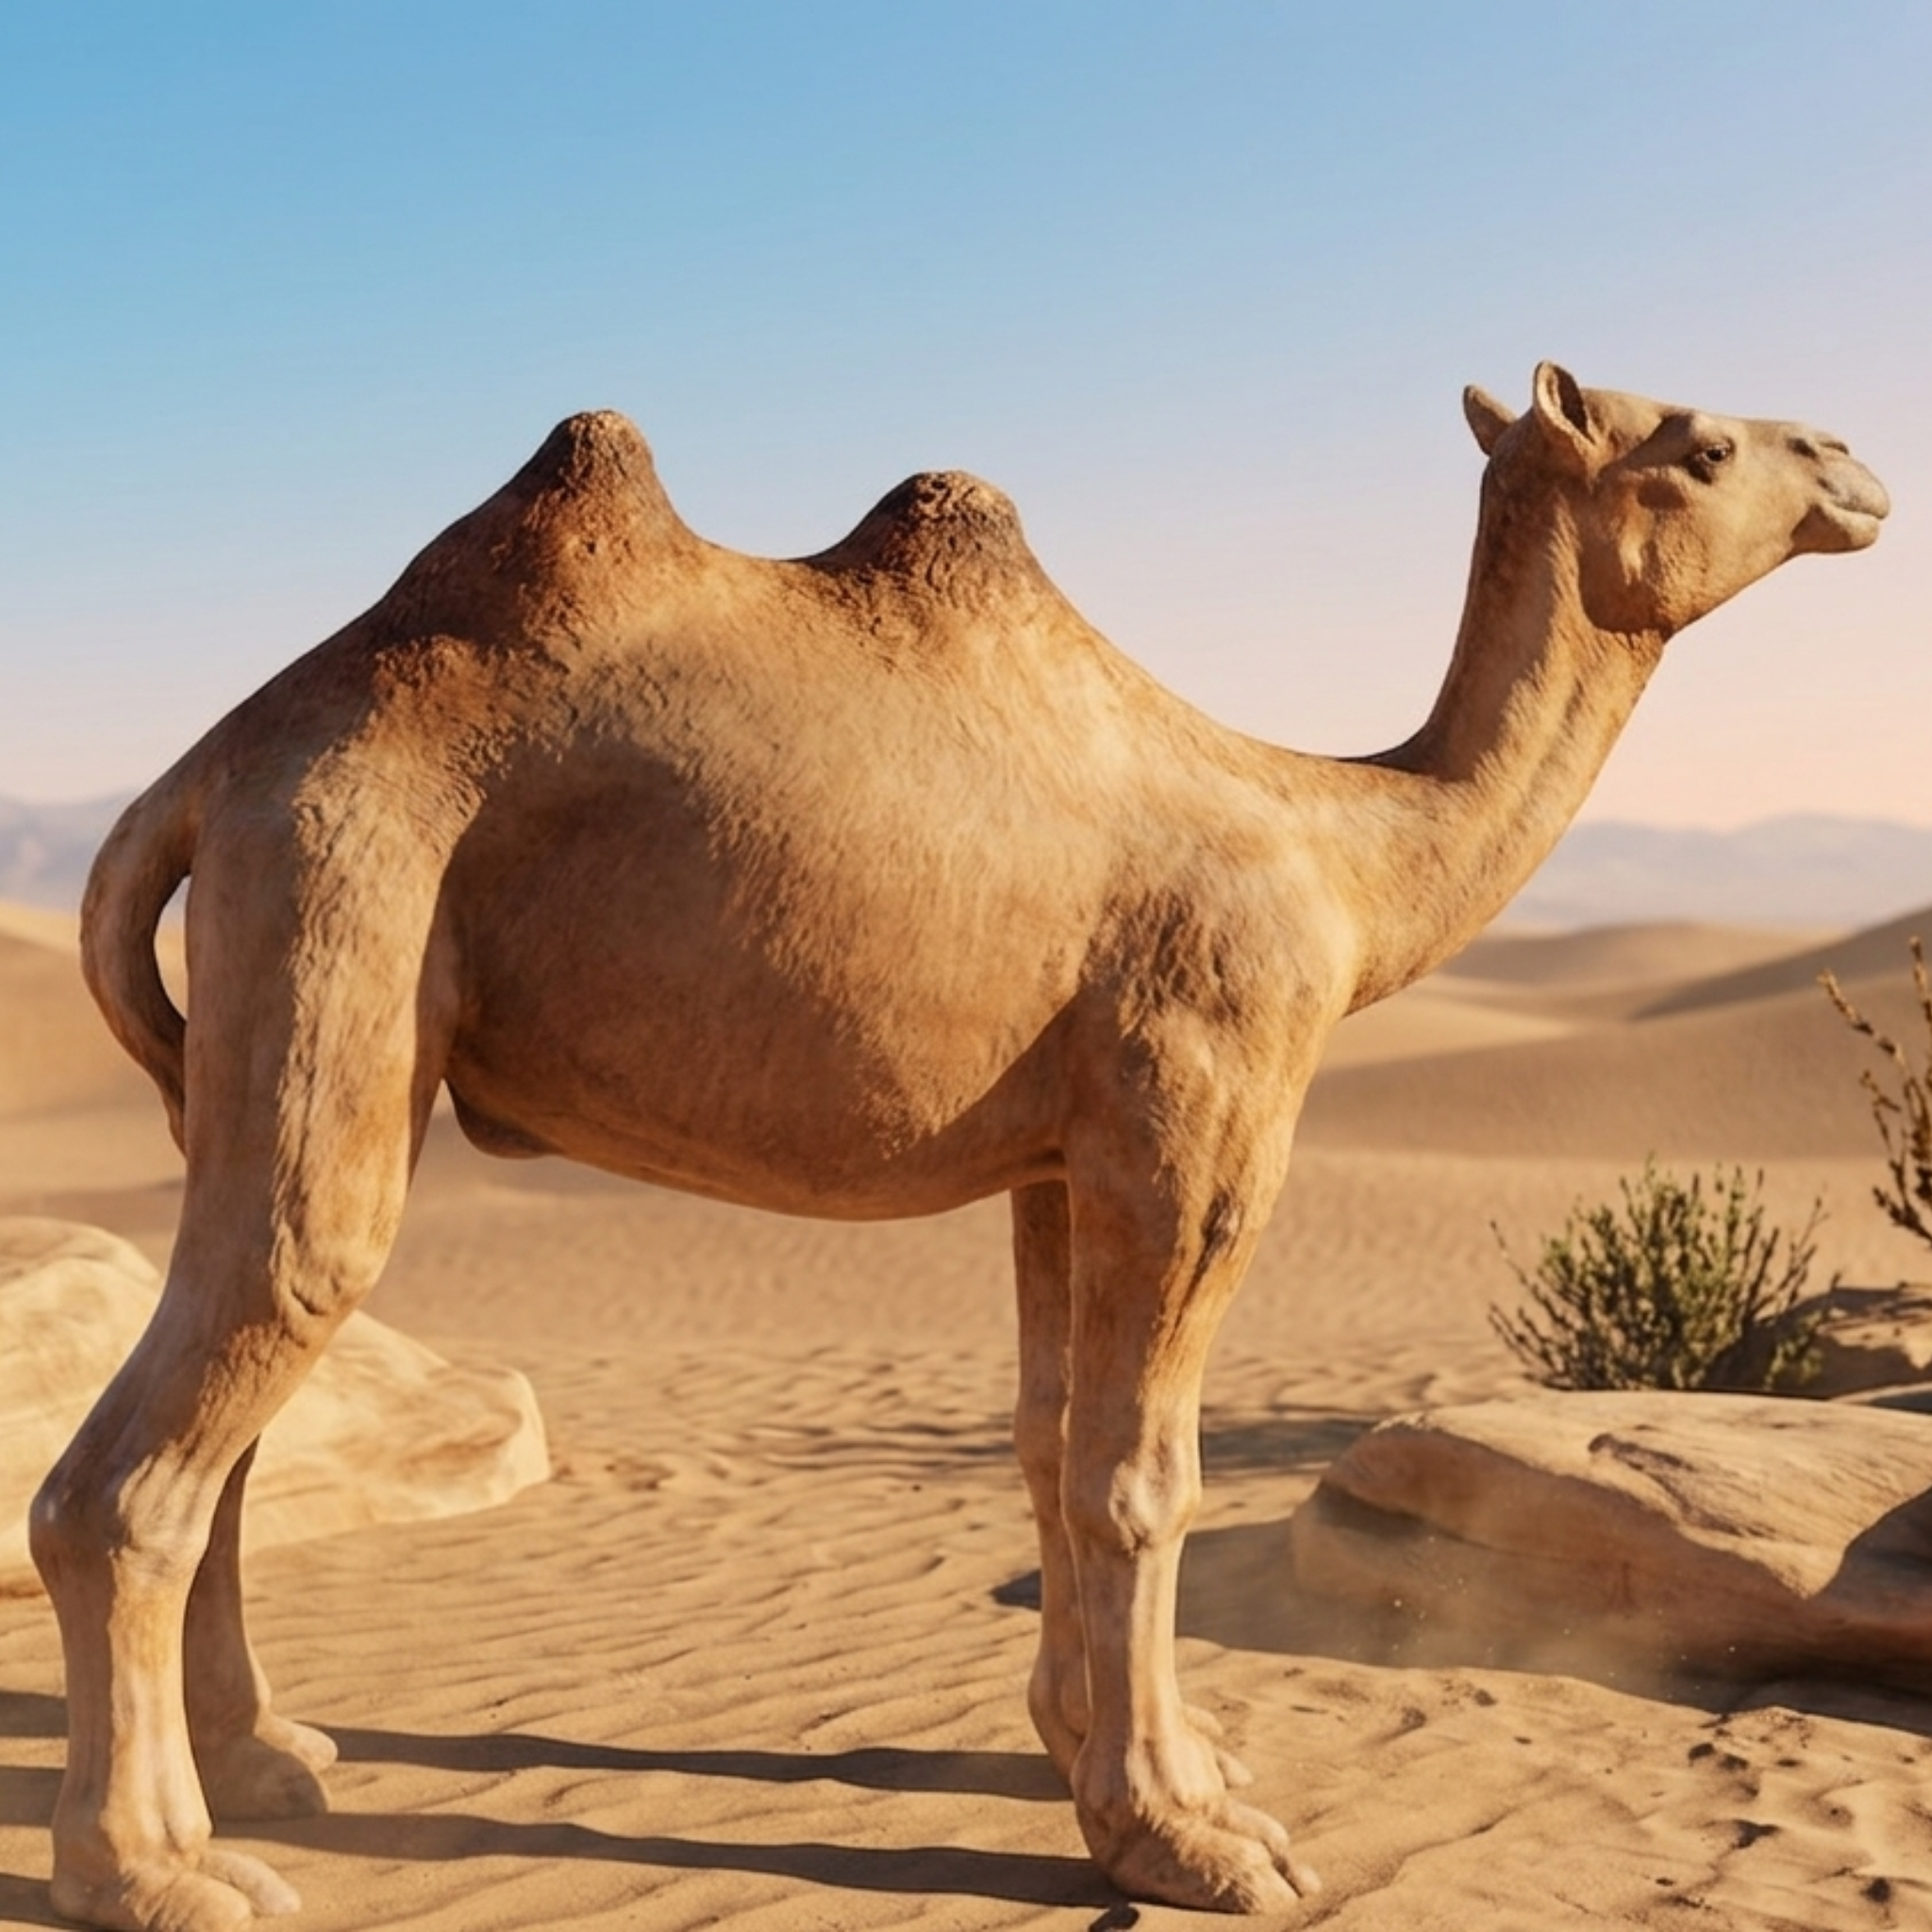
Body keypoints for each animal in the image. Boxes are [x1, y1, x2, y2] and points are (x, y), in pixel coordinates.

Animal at [32, 362, 1887, 1929]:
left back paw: (265, 1765)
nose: (1854, 464)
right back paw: (161, 1871)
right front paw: (1189, 1838)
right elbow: (1140, 1478)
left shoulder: (1063, 1158)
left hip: (267, 1005)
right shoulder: (1198, 1126)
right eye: (1697, 445)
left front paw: (1113, 1755)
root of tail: (199, 772)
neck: (1345, 858)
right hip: (342, 882)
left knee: (235, 1391)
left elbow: (1044, 1447)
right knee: (187, 1405)